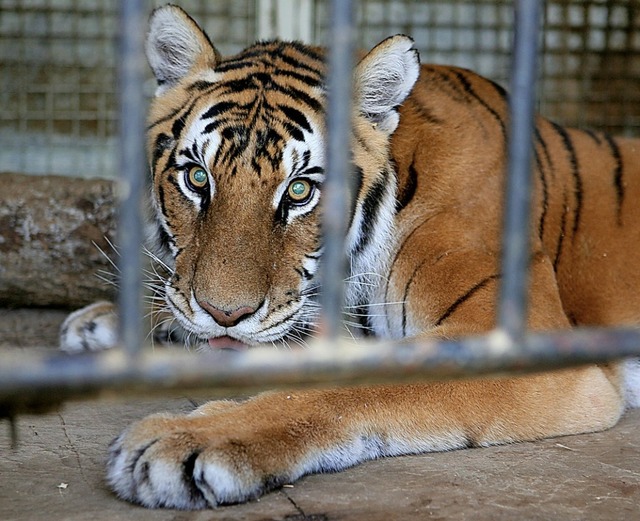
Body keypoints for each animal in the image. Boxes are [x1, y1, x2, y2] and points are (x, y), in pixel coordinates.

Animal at [60, 4, 640, 508]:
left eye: (299, 191)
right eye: (198, 178)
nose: (225, 314)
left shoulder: (514, 339)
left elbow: (347, 385)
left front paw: (187, 438)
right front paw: (115, 321)